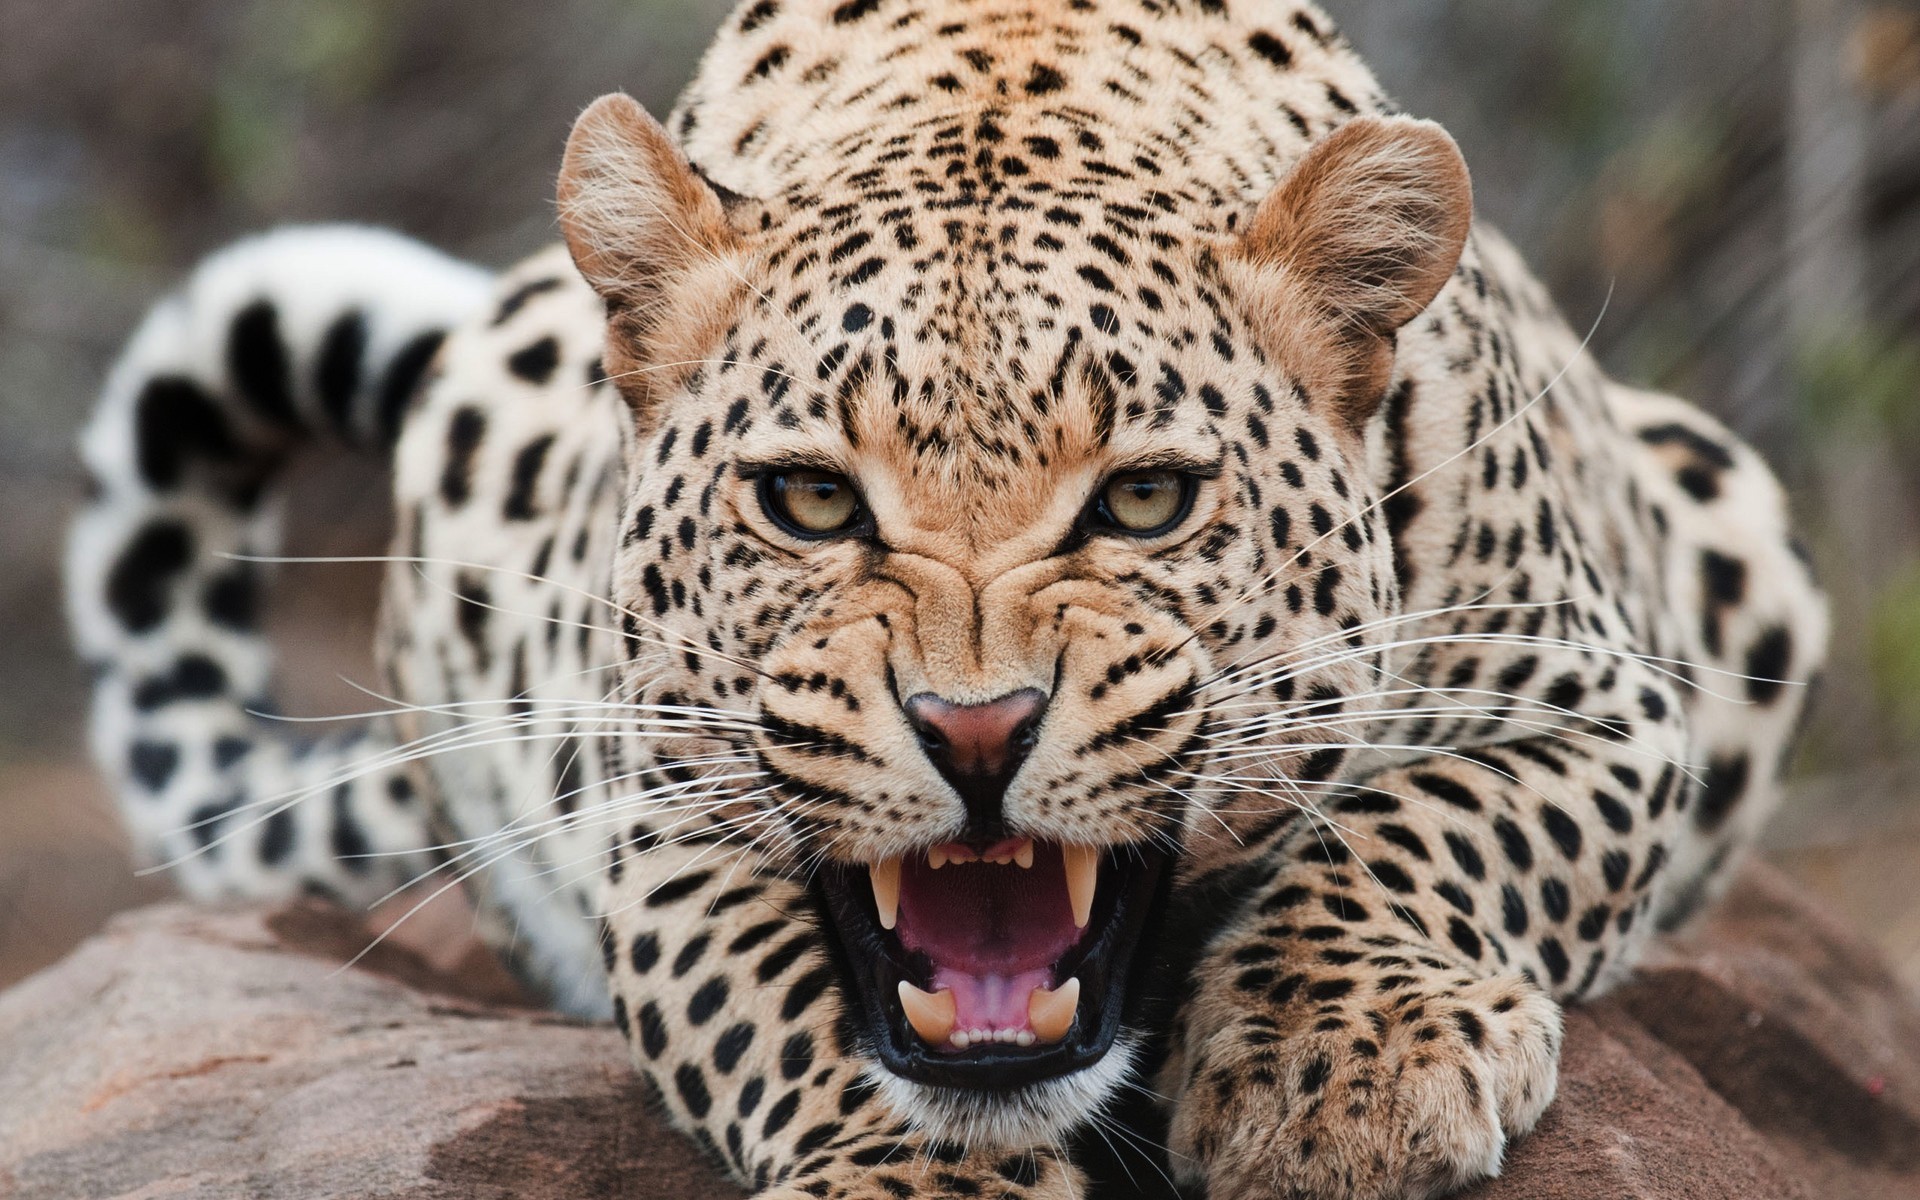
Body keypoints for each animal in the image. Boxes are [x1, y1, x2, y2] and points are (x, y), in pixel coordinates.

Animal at [66, 1, 1829, 1197]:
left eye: (1144, 500)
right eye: (809, 501)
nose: (976, 733)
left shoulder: (1604, 702)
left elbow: (1428, 827)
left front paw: (1342, 1073)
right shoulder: (657, 806)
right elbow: (779, 1000)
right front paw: (915, 1178)